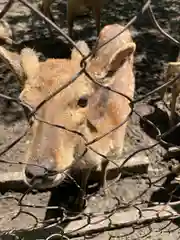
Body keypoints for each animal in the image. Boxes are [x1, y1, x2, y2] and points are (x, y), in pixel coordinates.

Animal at [0, 23, 136, 209]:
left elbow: (105, 166)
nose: (38, 172)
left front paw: (104, 190)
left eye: (83, 100)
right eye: (24, 102)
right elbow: (85, 174)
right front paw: (79, 201)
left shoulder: (116, 148)